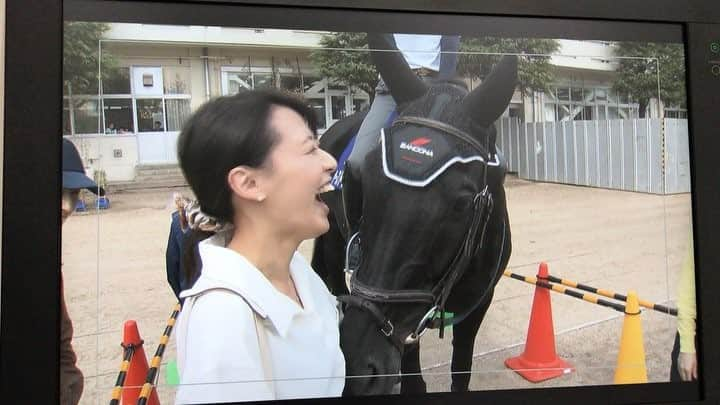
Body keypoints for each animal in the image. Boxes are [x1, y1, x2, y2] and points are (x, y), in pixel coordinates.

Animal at [312, 34, 516, 394]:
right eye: (365, 181)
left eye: (462, 204)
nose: (357, 368)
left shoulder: (479, 304)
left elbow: (461, 371)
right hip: (333, 242)